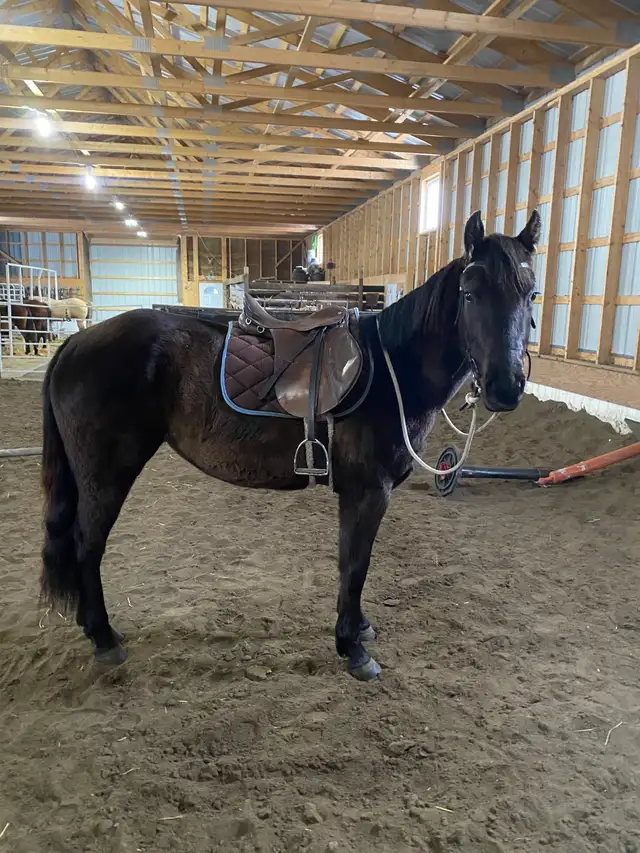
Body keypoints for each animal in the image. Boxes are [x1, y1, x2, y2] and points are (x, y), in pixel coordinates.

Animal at [39, 211, 541, 679]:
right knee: (88, 544)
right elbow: (355, 565)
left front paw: (358, 629)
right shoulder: (367, 491)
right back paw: (104, 637)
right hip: (106, 473)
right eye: (471, 293)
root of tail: (77, 343)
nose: (506, 386)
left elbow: (355, 563)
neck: (393, 368)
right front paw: (352, 649)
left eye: (531, 293)